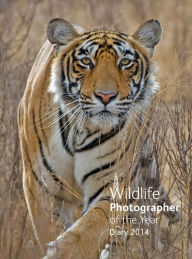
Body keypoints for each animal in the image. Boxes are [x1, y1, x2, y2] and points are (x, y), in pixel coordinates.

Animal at [17, 18, 180, 259]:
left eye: (125, 62)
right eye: (86, 61)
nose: (106, 96)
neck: (81, 129)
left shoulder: (112, 188)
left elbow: (84, 233)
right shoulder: (41, 187)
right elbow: (50, 230)